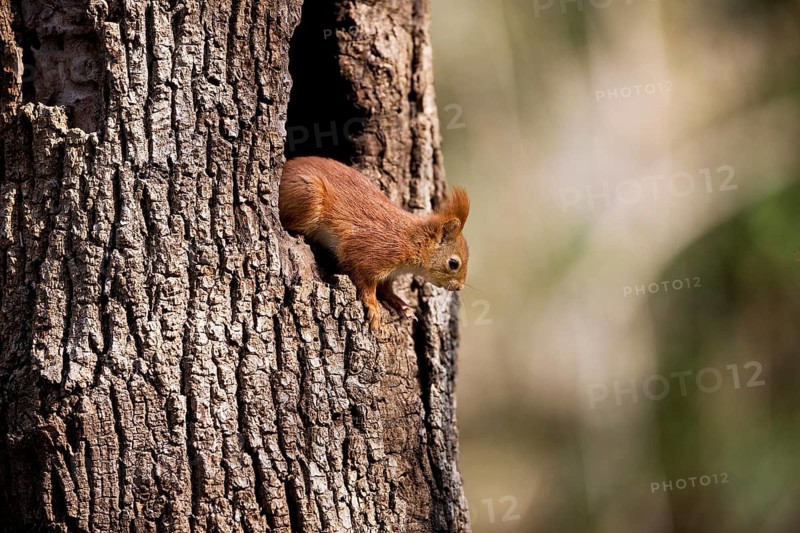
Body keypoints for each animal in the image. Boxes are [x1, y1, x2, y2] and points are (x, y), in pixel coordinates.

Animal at [279, 156, 470, 331]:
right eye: (453, 264)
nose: (459, 287)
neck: (412, 241)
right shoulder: (370, 253)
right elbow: (364, 281)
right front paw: (373, 307)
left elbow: (385, 289)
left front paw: (399, 304)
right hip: (308, 194)